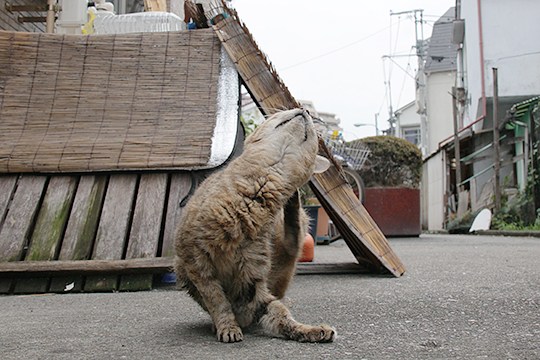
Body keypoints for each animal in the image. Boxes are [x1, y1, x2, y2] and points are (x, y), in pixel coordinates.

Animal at [173, 107, 336, 344]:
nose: (304, 109)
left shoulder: (252, 284)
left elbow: (281, 317)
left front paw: (310, 329)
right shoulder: (194, 261)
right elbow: (217, 301)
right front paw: (227, 326)